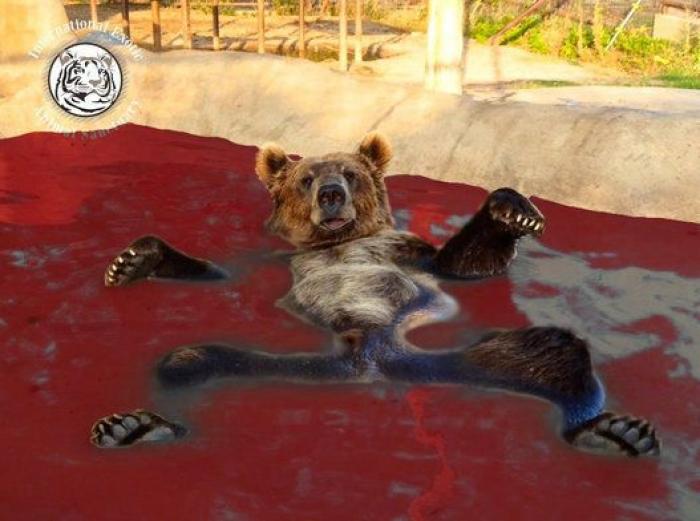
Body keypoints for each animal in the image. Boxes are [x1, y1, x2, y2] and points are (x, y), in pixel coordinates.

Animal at [92, 132, 660, 457]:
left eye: (349, 172)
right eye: (306, 177)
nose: (331, 193)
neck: (337, 241)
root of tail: (368, 358)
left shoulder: (405, 250)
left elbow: (463, 266)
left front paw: (513, 209)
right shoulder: (273, 258)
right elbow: (222, 274)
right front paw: (132, 260)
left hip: (486, 357)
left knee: (558, 358)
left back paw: (612, 432)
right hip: (258, 363)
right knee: (184, 363)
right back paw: (136, 426)